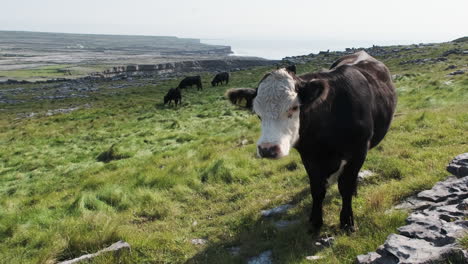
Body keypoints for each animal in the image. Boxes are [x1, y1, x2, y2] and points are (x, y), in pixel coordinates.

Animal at [226, 51, 394, 231]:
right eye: (257, 113)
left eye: (294, 107)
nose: (267, 149)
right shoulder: (309, 156)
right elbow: (317, 189)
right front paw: (315, 222)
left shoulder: (358, 151)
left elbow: (345, 187)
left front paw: (347, 222)